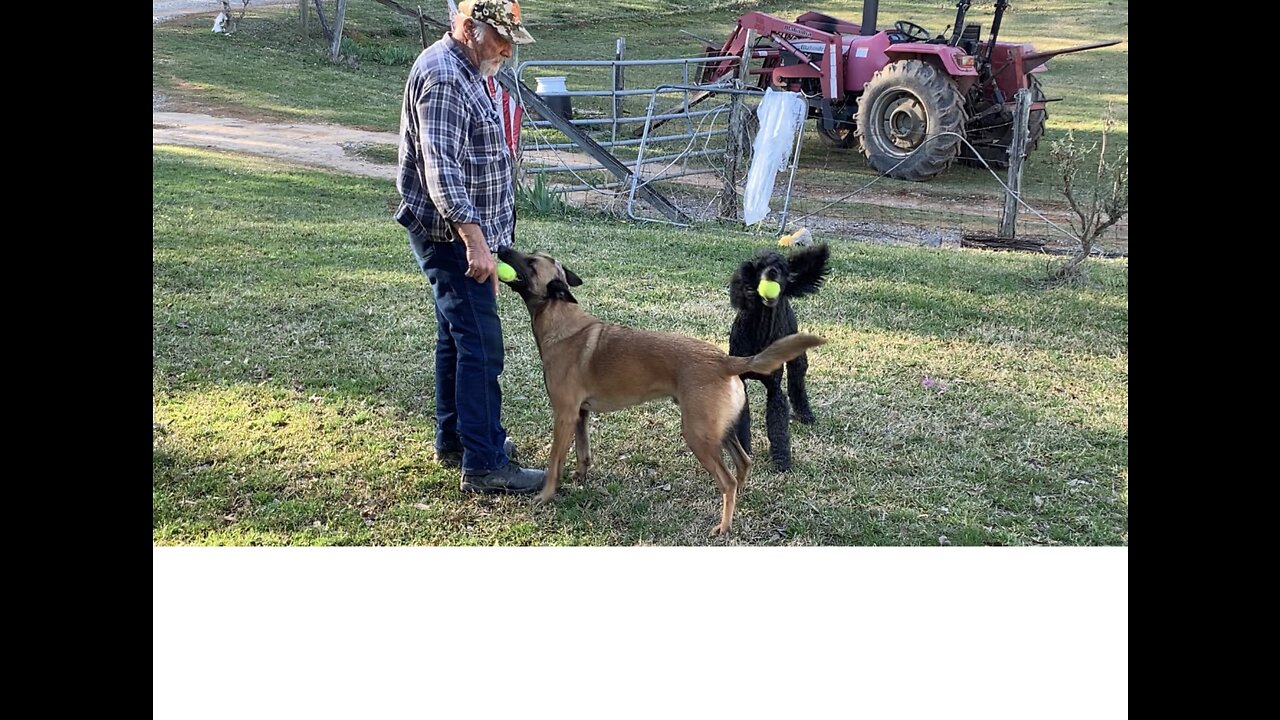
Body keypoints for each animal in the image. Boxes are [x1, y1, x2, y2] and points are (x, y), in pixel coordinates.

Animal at [494, 245, 824, 532]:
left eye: (531, 263)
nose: (501, 248)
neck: (561, 319)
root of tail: (725, 361)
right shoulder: (580, 415)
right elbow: (583, 453)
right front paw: (580, 477)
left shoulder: (563, 415)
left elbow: (555, 462)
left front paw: (546, 495)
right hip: (721, 429)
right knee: (743, 463)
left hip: (697, 434)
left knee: (728, 479)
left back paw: (724, 526)